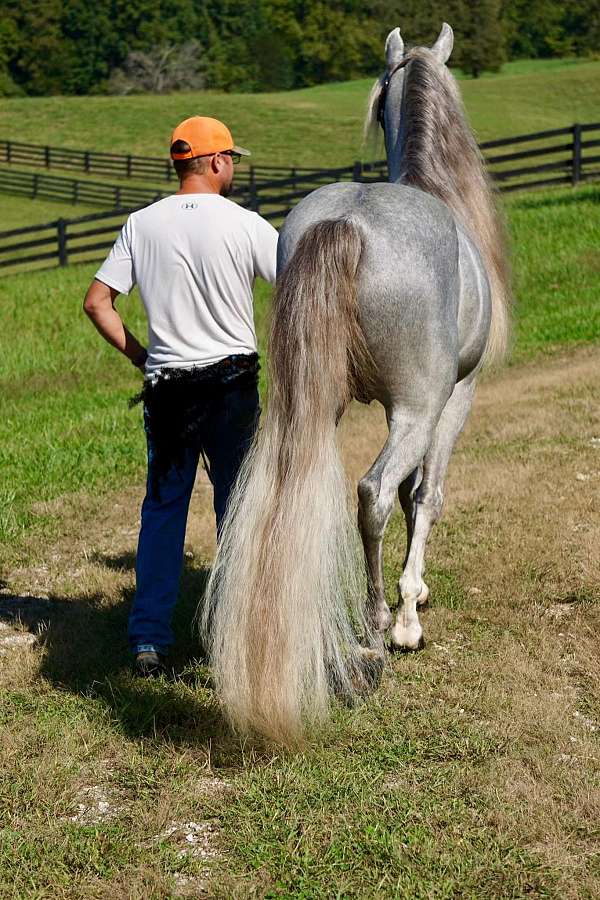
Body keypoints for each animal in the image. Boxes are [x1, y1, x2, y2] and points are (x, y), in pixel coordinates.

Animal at [200, 23, 511, 745]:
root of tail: (349, 221)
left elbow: (408, 497)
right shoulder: (452, 401)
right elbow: (423, 496)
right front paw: (410, 609)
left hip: (307, 409)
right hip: (418, 409)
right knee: (371, 493)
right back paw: (377, 628)